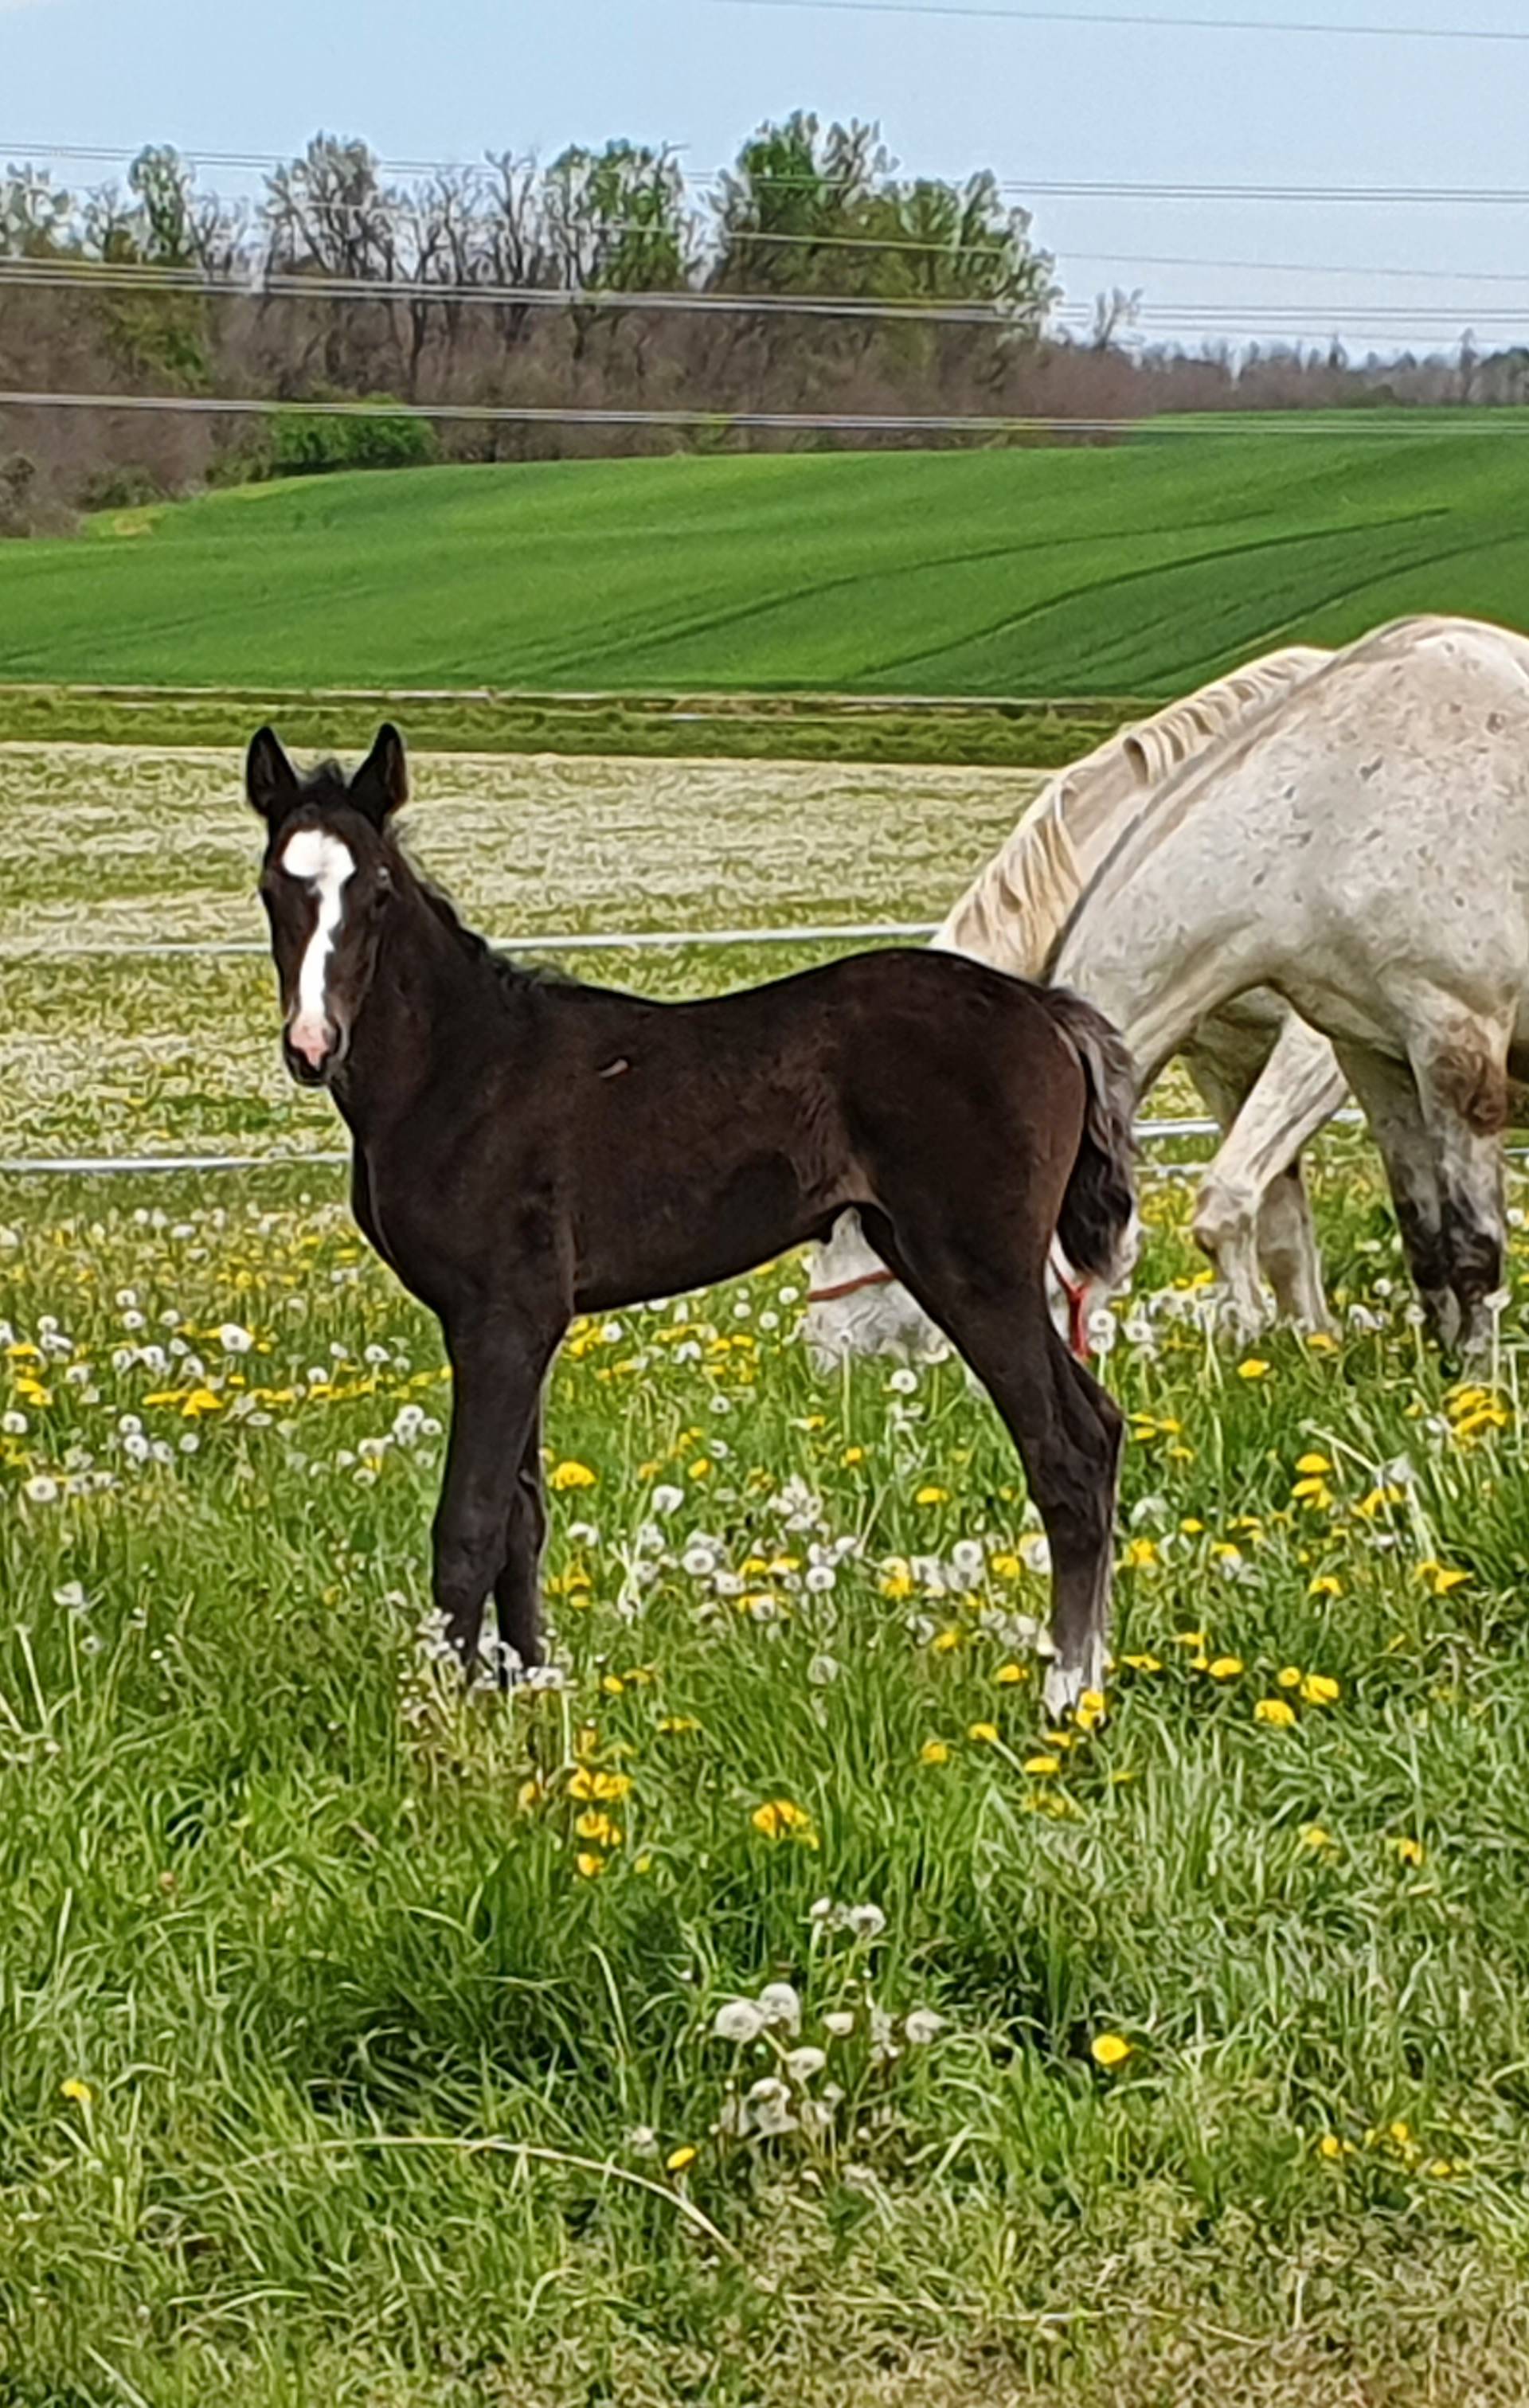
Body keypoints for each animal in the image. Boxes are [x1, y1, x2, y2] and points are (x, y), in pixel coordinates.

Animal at [808, 650, 1348, 1367]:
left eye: (855, 1218)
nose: (824, 1353)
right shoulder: (1228, 1062)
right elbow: (1284, 1228)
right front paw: (1309, 1343)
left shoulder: (1322, 1047)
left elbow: (1231, 1194)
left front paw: (1251, 1337)